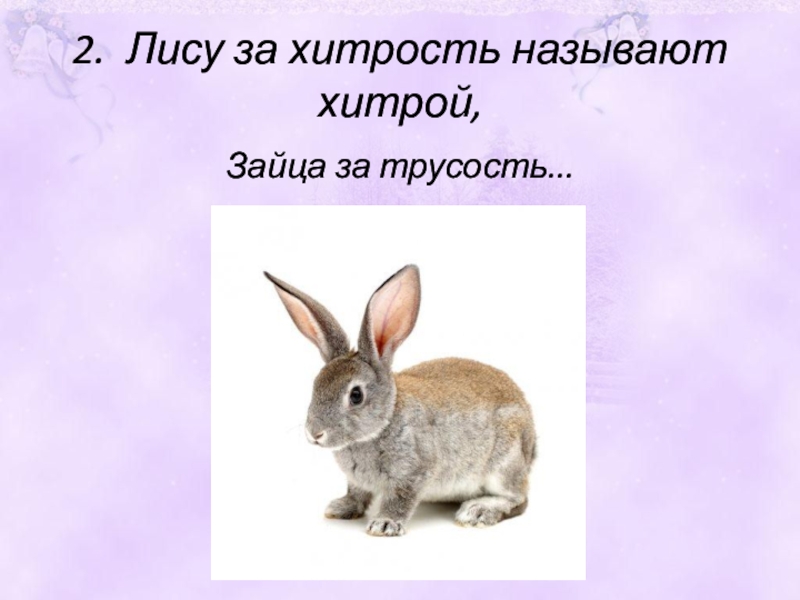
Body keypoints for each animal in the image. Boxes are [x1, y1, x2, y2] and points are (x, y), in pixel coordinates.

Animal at [263, 265, 536, 536]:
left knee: (518, 499)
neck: (384, 422)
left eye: (356, 395)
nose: (314, 434)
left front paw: (385, 524)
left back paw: (478, 511)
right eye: (315, 385)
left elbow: (400, 499)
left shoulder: (414, 472)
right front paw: (341, 508)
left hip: (504, 464)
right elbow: (357, 493)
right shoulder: (357, 481)